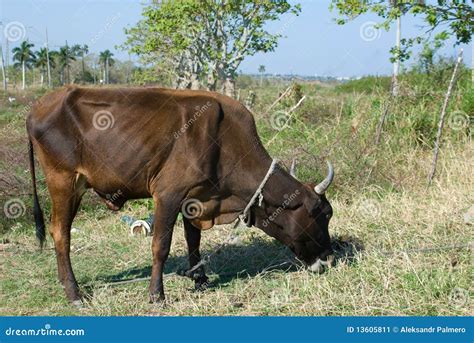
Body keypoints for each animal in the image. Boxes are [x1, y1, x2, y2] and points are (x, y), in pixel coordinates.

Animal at [27, 86, 336, 306]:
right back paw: (74, 293)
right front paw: (156, 295)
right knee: (60, 233)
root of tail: (40, 105)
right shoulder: (169, 195)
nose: (330, 259)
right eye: (321, 214)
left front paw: (200, 279)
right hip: (63, 181)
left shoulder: (196, 199)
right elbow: (160, 246)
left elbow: (193, 241)